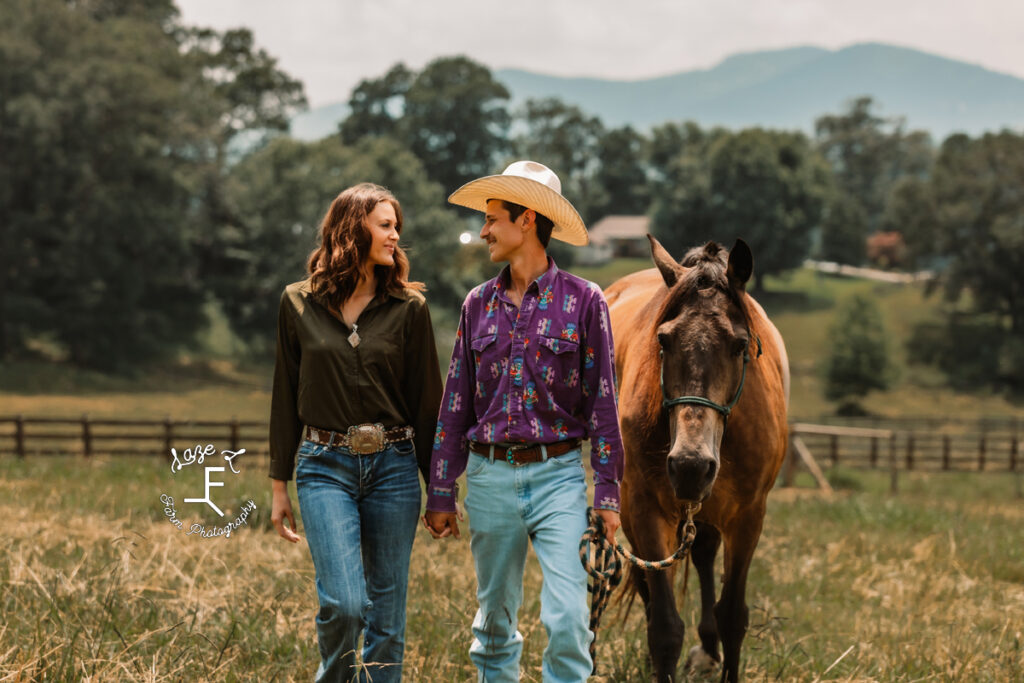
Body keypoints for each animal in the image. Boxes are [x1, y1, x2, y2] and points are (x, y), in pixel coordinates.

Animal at [606, 236, 790, 683]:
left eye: (740, 345)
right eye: (663, 340)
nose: (690, 466)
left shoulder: (748, 516)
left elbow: (733, 616)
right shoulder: (645, 508)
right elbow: (665, 626)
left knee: (705, 553)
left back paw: (707, 650)